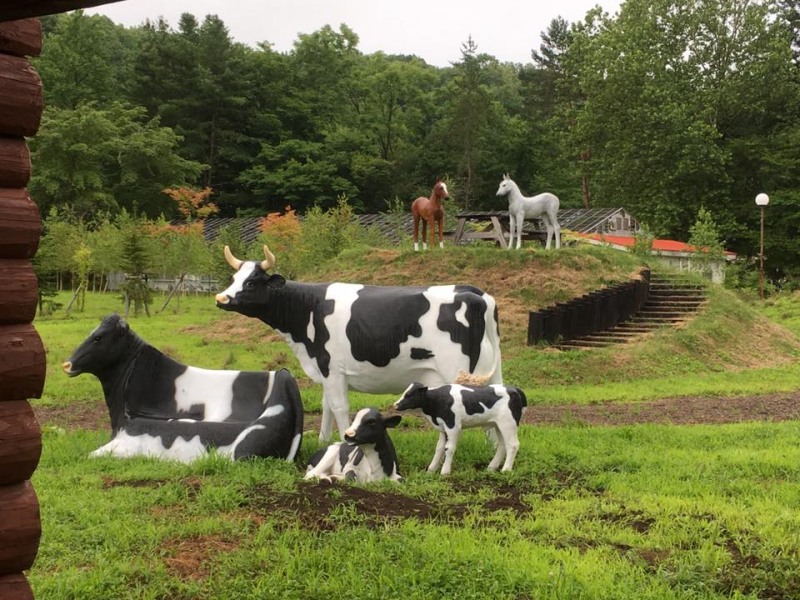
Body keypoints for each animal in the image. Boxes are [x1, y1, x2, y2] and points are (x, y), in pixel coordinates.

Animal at [215, 245, 503, 441]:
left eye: (251, 282)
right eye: (233, 279)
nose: (221, 298)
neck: (309, 308)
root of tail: (477, 295)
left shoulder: (332, 368)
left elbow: (339, 407)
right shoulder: (324, 370)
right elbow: (327, 407)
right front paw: (323, 442)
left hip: (456, 371)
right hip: (491, 371)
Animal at [394, 382, 527, 475]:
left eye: (409, 395)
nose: (396, 405)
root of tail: (514, 388)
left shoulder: (453, 426)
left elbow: (449, 448)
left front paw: (445, 472)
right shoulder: (443, 428)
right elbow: (439, 448)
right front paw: (431, 470)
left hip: (508, 423)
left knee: (513, 445)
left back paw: (506, 470)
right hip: (498, 424)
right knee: (503, 445)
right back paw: (491, 467)